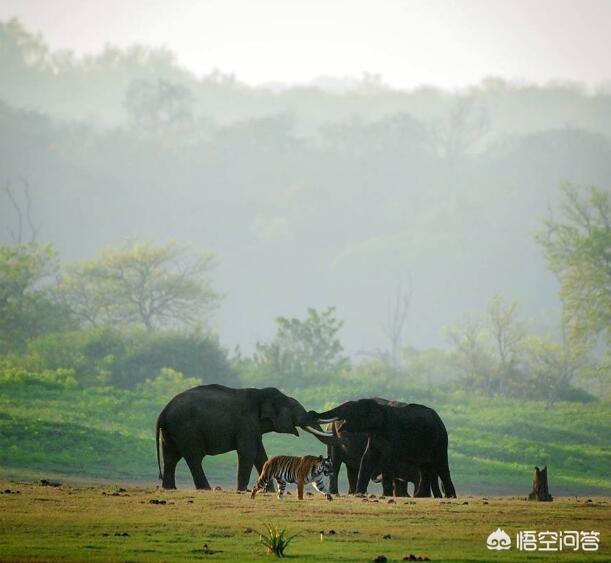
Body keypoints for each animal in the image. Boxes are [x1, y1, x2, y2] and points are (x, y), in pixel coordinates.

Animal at [155, 386, 338, 492]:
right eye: (293, 408)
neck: (261, 394)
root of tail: (162, 413)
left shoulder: (253, 428)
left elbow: (260, 455)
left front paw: (268, 491)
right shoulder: (245, 424)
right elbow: (248, 453)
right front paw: (243, 490)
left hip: (171, 432)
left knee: (170, 457)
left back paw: (170, 488)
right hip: (186, 430)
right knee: (193, 458)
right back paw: (206, 488)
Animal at [306, 398, 454, 500]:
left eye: (352, 412)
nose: (311, 412)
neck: (380, 409)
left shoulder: (393, 434)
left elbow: (387, 459)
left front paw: (386, 495)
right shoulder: (374, 437)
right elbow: (367, 458)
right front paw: (359, 494)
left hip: (440, 440)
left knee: (441, 466)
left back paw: (449, 497)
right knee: (425, 467)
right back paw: (421, 496)